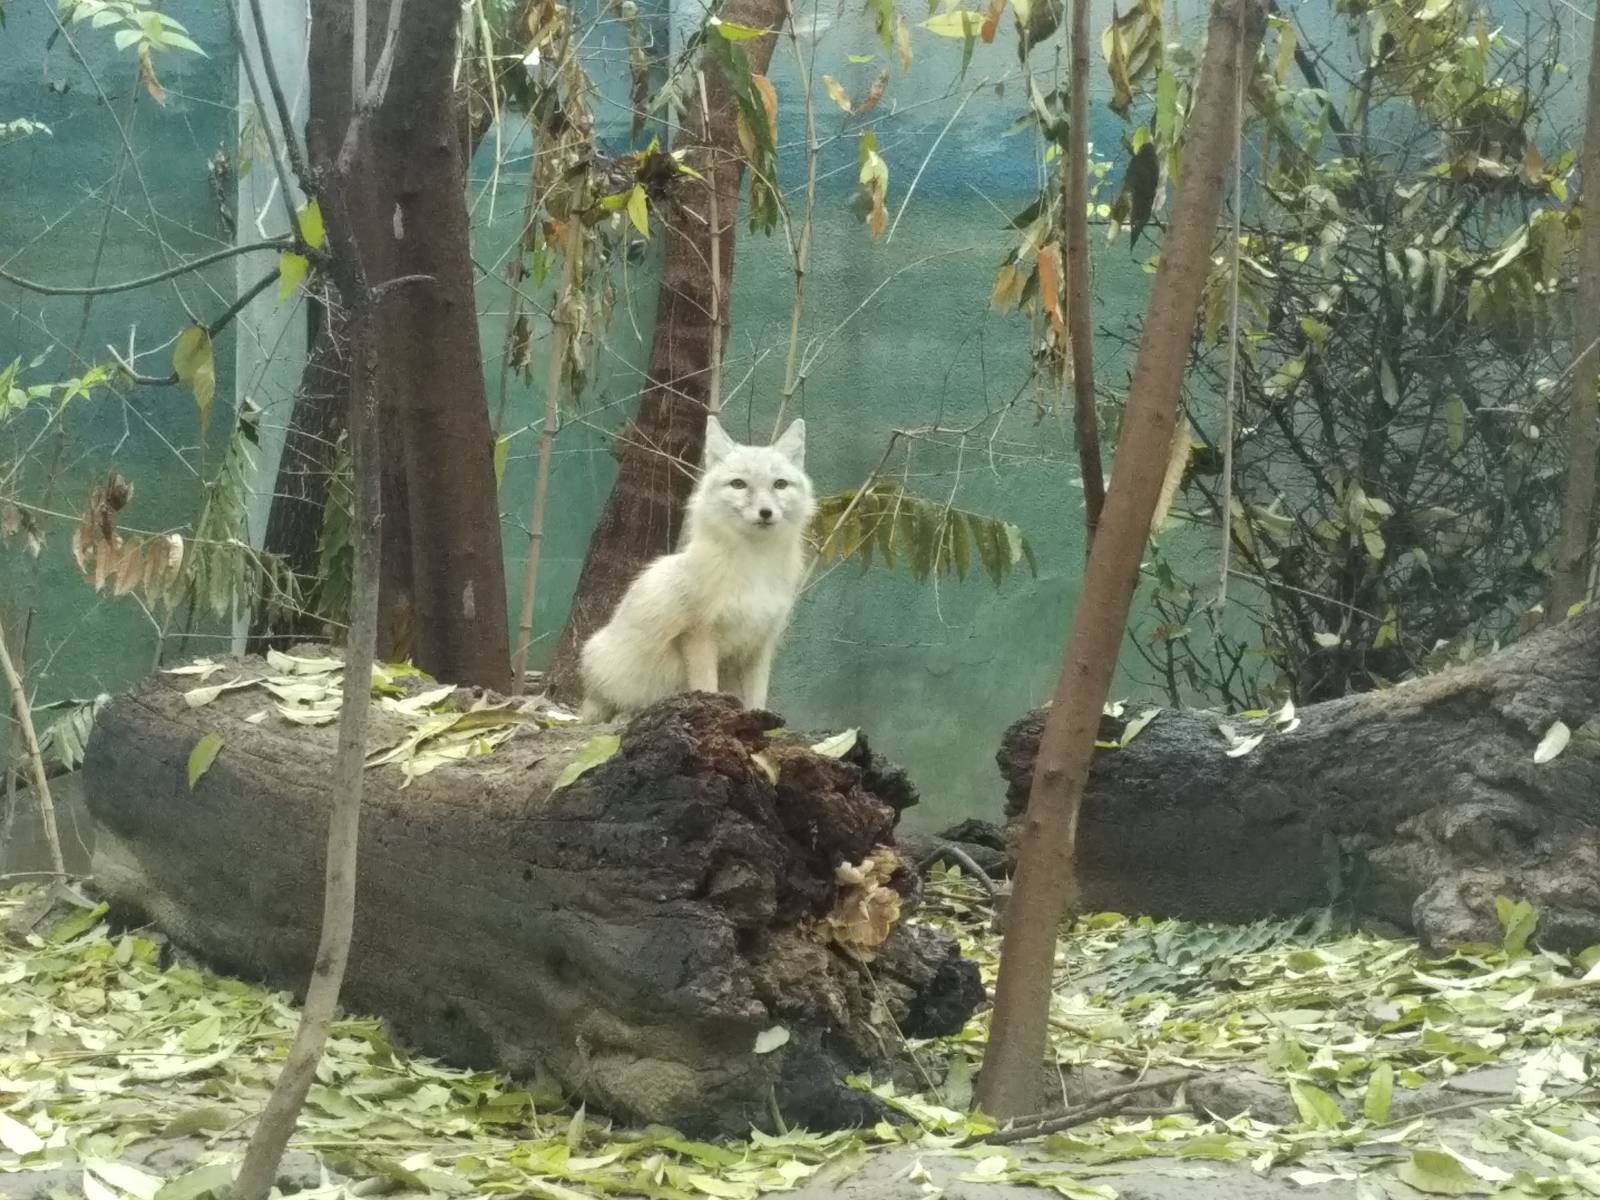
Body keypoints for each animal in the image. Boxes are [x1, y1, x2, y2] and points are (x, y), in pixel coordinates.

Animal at [578, 417, 816, 722]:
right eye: (738, 484)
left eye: (780, 484)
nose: (765, 513)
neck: (755, 567)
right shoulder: (699, 634)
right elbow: (706, 687)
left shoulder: (760, 643)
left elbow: (757, 698)